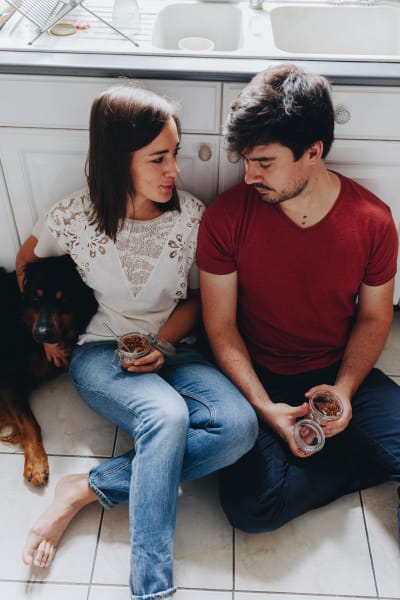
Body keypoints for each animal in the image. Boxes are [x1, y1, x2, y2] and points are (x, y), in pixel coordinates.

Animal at [0, 255, 97, 486]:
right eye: (36, 300)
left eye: (64, 300)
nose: (41, 333)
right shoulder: (7, 378)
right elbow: (30, 423)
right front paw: (36, 464)